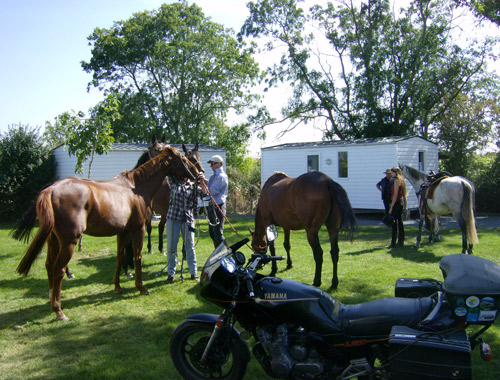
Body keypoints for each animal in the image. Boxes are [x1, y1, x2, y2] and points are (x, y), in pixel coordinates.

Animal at [12, 145, 199, 320]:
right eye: (184, 158)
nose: (197, 174)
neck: (137, 187)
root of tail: (50, 190)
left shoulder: (123, 232)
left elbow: (120, 257)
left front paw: (117, 286)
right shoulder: (138, 229)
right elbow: (137, 256)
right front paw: (141, 287)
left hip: (54, 240)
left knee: (49, 265)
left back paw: (52, 298)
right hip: (69, 241)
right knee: (59, 269)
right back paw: (59, 310)